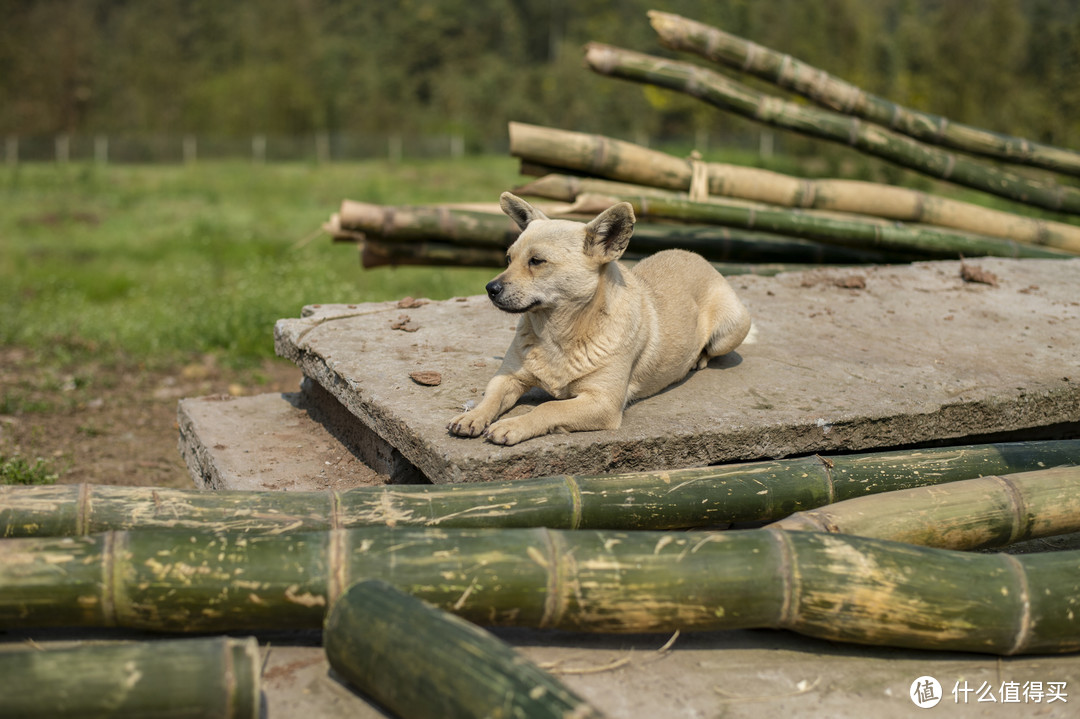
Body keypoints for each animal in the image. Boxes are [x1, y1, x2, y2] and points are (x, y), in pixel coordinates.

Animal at [447, 193, 751, 444]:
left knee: (711, 349)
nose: (490, 288)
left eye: (537, 261)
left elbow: (549, 407)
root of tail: (698, 257)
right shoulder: (507, 377)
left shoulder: (602, 402)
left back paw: (697, 359)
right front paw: (472, 416)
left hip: (730, 330)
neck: (556, 332)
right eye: (508, 259)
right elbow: (491, 397)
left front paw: (514, 425)